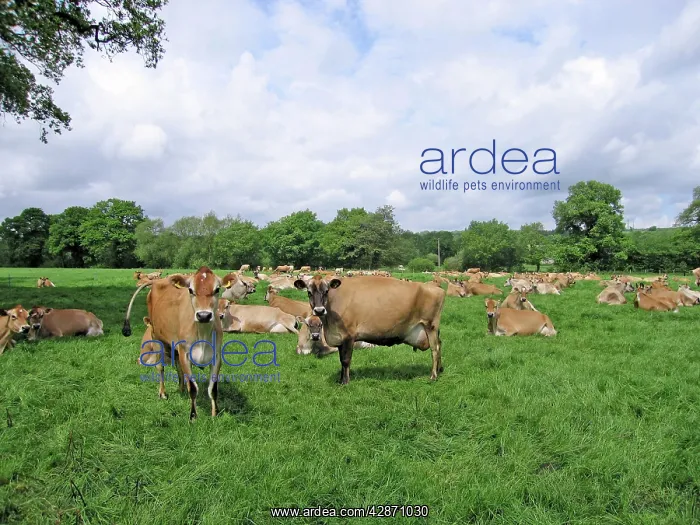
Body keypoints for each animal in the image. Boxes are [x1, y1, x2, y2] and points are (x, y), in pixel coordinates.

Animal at [122, 267, 227, 420]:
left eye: (217, 289)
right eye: (191, 290)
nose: (204, 316)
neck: (202, 332)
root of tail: (159, 280)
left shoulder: (216, 356)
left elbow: (213, 389)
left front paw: (215, 414)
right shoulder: (185, 354)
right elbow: (193, 387)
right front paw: (193, 416)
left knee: (178, 367)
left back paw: (181, 388)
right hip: (156, 337)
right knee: (160, 368)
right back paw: (163, 393)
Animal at [293, 275, 446, 384]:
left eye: (326, 291)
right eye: (309, 292)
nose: (319, 310)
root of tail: (435, 287)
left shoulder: (349, 336)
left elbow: (346, 360)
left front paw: (345, 382)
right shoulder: (340, 338)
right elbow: (341, 360)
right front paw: (341, 379)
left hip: (430, 325)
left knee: (435, 348)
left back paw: (433, 376)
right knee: (440, 344)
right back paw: (440, 369)